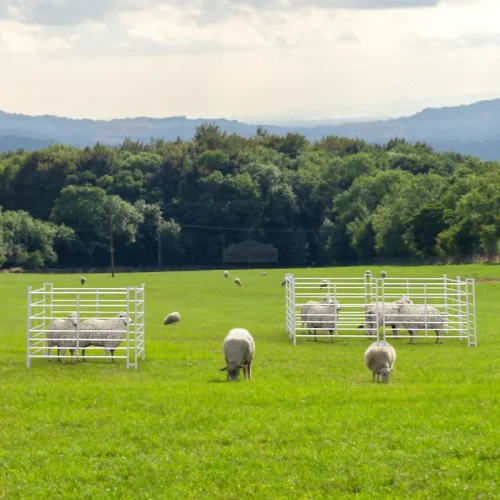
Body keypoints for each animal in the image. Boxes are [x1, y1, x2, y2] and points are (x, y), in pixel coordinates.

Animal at [286, 274, 476, 348]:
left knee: (369, 331)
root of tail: (369, 307)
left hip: (369, 320)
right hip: (374, 320)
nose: (412, 303)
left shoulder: (394, 324)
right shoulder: (397, 323)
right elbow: (399, 332)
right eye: (408, 301)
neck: (401, 306)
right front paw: (398, 339)